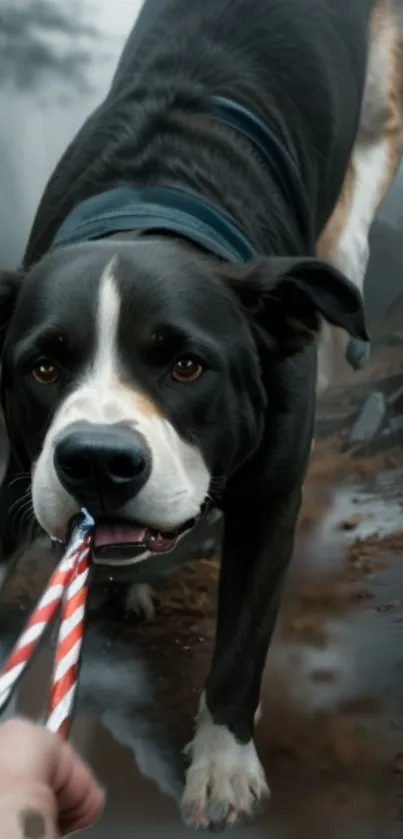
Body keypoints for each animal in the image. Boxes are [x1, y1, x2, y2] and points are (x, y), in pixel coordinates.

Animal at [0, 0, 403, 832]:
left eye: (186, 365)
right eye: (43, 365)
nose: (96, 459)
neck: (151, 195)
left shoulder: (270, 502)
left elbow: (241, 644)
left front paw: (222, 768)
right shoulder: (13, 474)